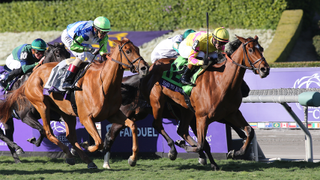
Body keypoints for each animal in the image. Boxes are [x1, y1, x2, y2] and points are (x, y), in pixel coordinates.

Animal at [0, 38, 149, 169]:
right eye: (128, 51)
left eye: (137, 49)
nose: (144, 68)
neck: (103, 83)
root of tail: (33, 74)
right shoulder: (86, 118)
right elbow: (99, 142)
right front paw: (87, 145)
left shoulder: (113, 114)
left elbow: (132, 125)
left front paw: (132, 159)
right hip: (41, 106)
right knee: (47, 131)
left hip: (66, 112)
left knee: (69, 136)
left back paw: (86, 160)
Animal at [140, 35, 270, 170]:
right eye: (250, 50)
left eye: (261, 49)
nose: (265, 69)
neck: (221, 82)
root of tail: (151, 67)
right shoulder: (202, 117)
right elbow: (201, 144)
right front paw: (182, 146)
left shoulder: (231, 113)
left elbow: (249, 131)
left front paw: (235, 152)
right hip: (157, 102)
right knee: (157, 124)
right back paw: (173, 150)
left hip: (185, 109)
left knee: (182, 130)